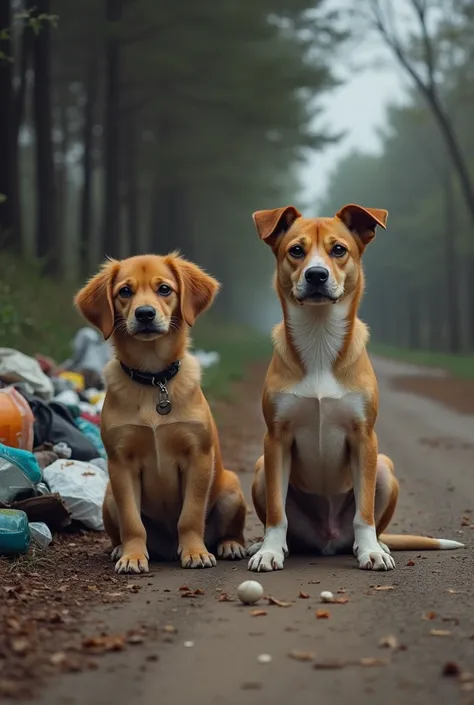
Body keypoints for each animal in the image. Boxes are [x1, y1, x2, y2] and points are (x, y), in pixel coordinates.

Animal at [74, 253, 246, 572]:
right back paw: (121, 549)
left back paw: (230, 545)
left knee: (229, 529)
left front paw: (195, 552)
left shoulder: (197, 456)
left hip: (231, 489)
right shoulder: (121, 463)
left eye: (164, 289)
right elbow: (132, 521)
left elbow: (190, 515)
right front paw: (132, 556)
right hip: (109, 497)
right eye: (125, 291)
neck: (154, 379)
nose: (144, 314)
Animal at [248, 204, 462, 572]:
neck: (319, 337)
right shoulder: (275, 439)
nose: (316, 275)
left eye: (338, 249)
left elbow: (364, 513)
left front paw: (372, 552)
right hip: (262, 468)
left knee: (370, 523)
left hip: (385, 468)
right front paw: (270, 551)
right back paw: (271, 545)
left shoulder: (364, 437)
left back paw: (376, 545)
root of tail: (328, 540)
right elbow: (277, 513)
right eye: (296, 251)